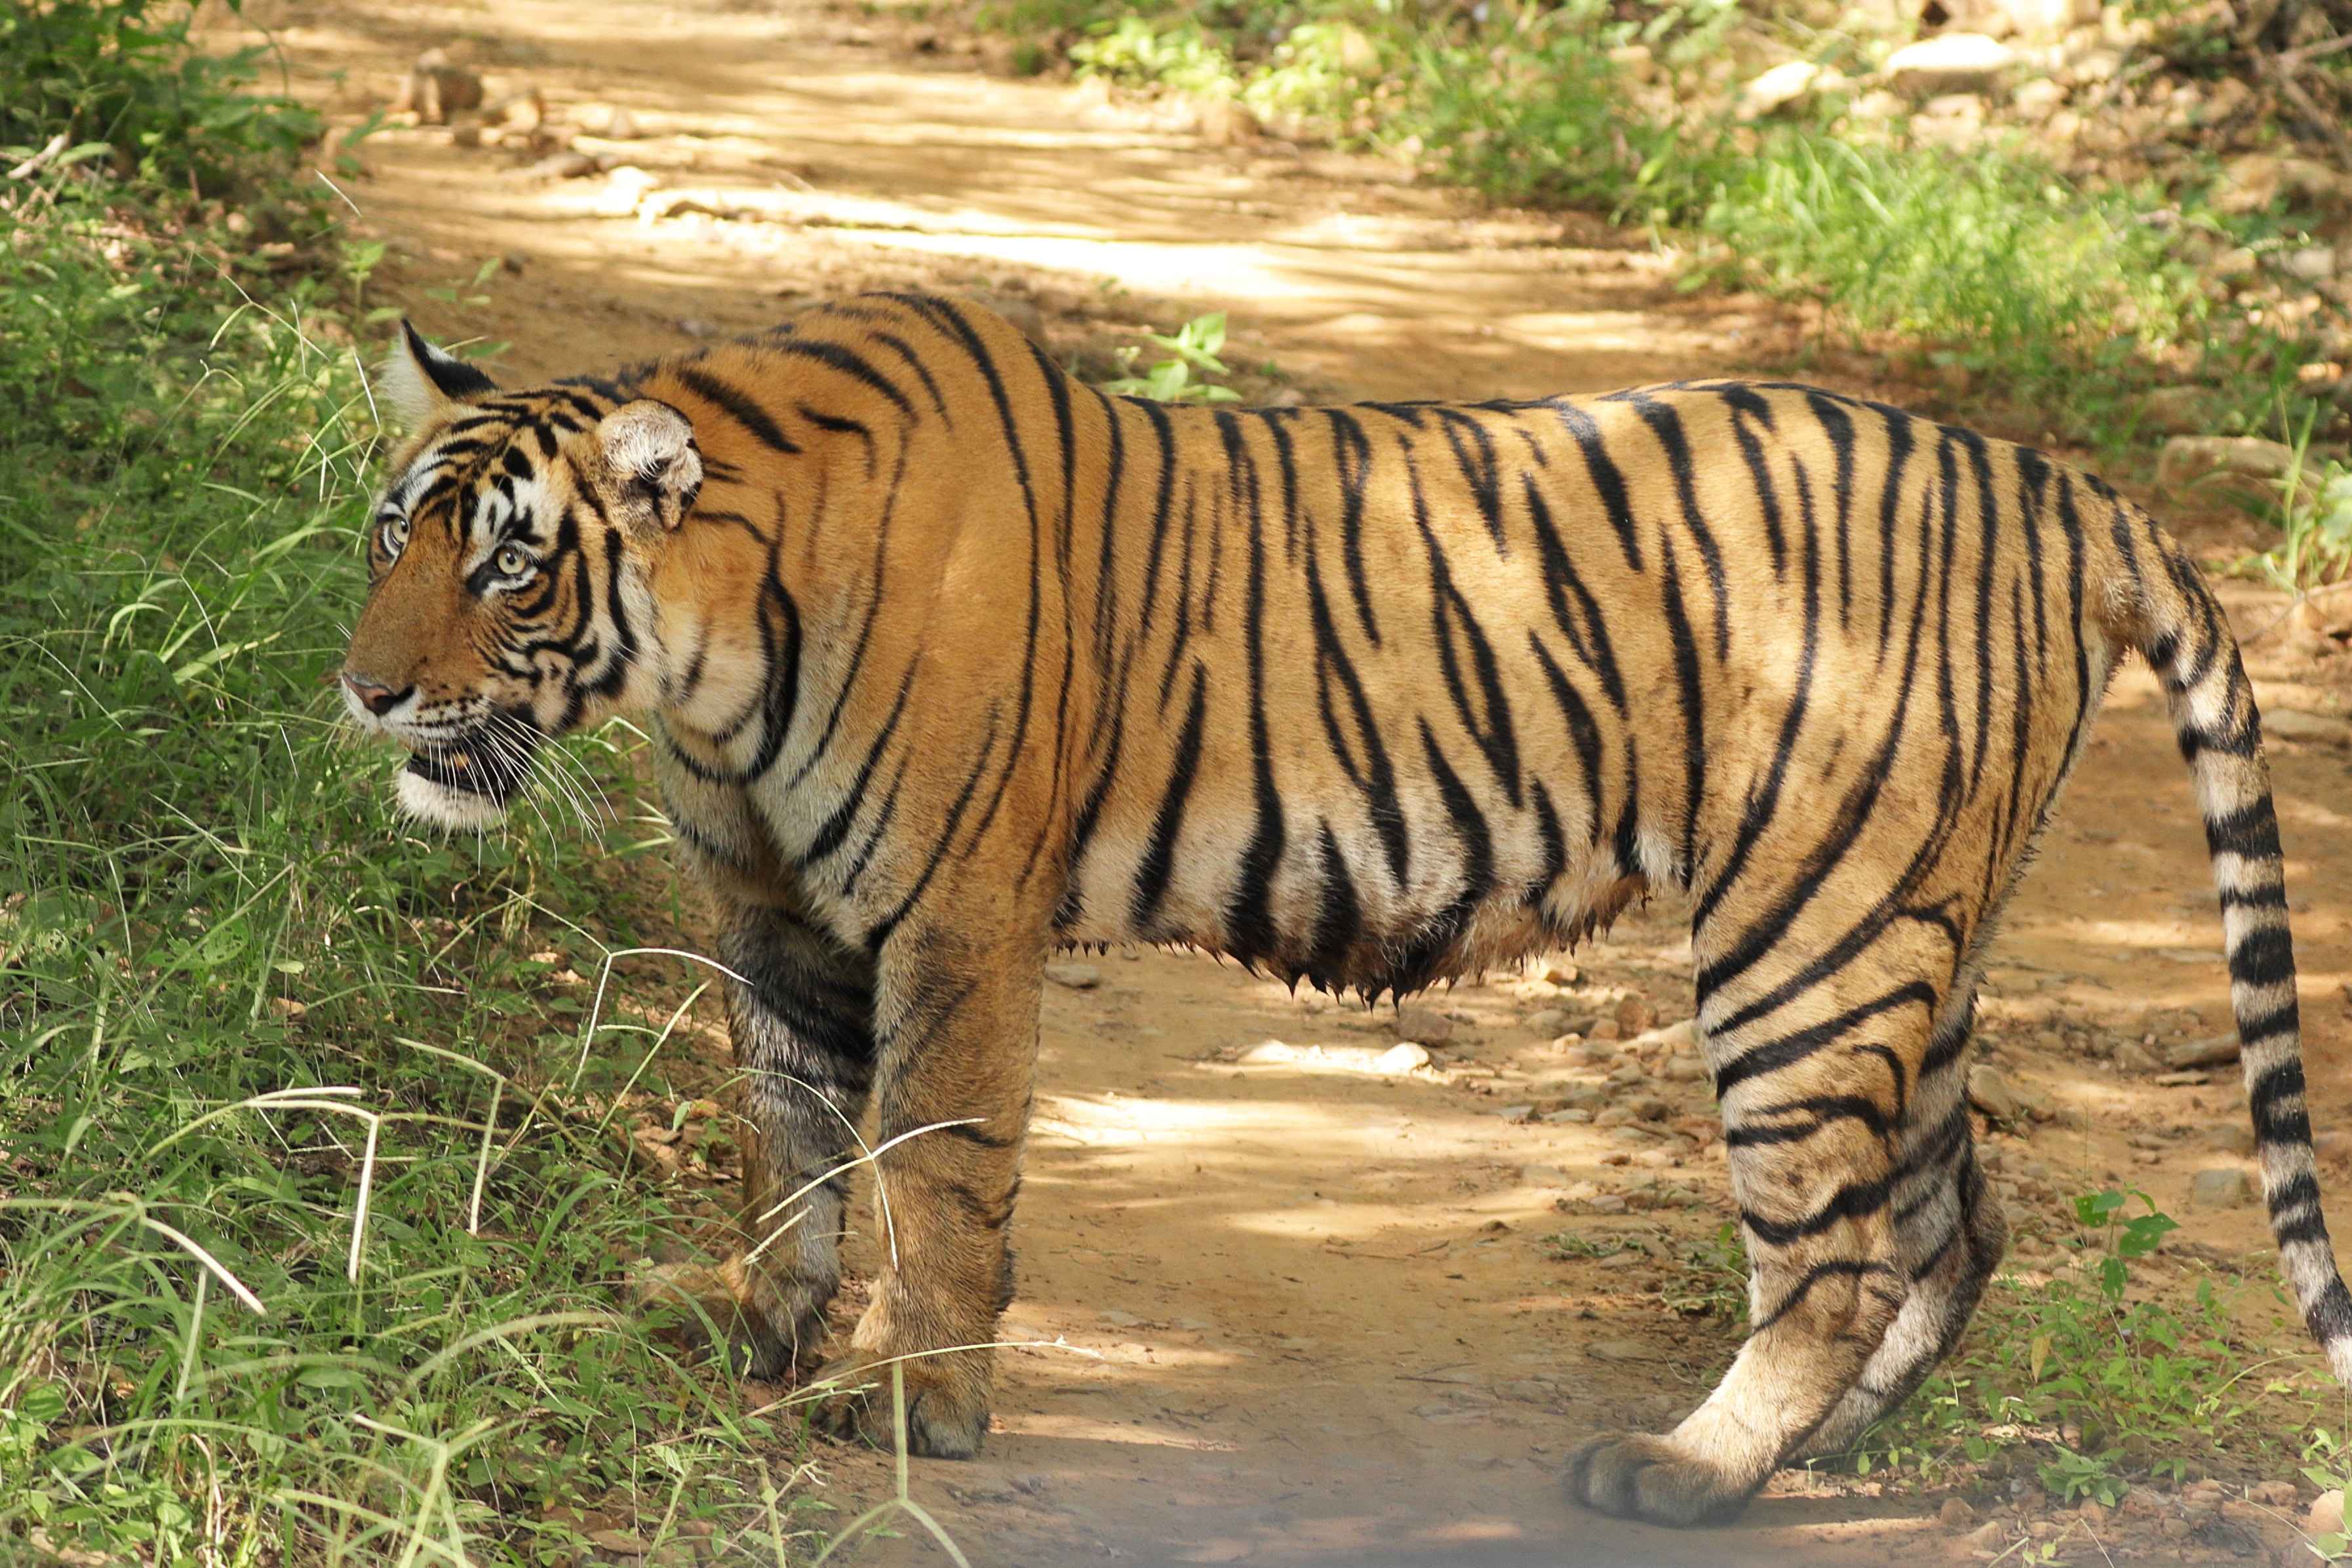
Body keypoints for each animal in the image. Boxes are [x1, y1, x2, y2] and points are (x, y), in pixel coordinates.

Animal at [336, 291, 2352, 1523]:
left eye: (511, 567)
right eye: (388, 535)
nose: (365, 693)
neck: (697, 668)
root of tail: (2059, 492)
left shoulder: (954, 921)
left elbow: (937, 1166)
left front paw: (922, 1408)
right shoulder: (776, 920)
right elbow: (790, 1142)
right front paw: (756, 1330)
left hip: (1811, 934)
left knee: (1837, 1247)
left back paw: (1687, 1471)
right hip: (1904, 931)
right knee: (1948, 1219)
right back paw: (1807, 1461)